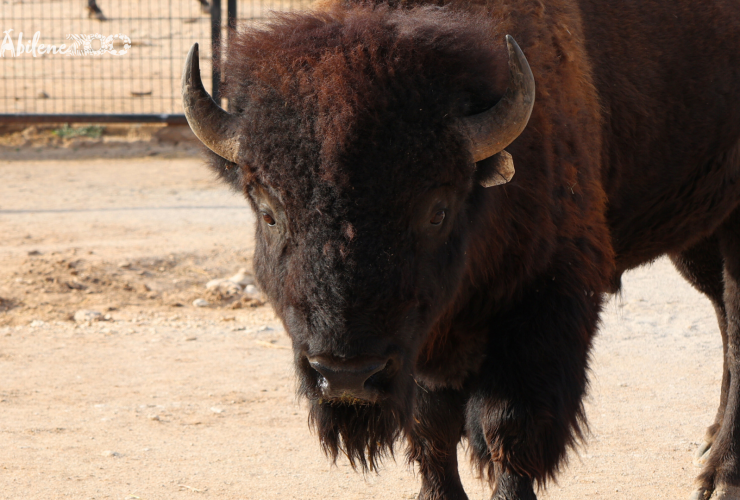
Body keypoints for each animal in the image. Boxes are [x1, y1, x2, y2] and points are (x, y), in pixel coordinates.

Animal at [179, 1, 740, 498]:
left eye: (437, 210)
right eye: (269, 210)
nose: (346, 374)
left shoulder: (544, 306)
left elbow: (506, 429)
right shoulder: (421, 349)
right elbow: (433, 429)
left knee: (733, 325)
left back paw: (719, 478)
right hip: (698, 242)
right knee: (721, 317)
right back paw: (708, 444)